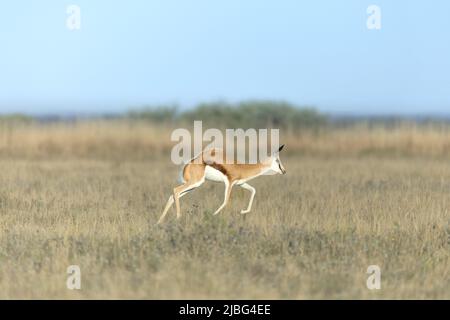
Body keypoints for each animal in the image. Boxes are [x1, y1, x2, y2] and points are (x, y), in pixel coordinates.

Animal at [156, 144, 286, 224]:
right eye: (277, 160)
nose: (284, 171)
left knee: (173, 195)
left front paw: (242, 211)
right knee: (175, 190)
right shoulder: (230, 183)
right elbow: (226, 201)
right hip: (195, 183)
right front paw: (212, 217)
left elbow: (253, 190)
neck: (241, 168)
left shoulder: (240, 184)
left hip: (194, 186)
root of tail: (190, 162)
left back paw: (159, 222)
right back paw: (177, 218)